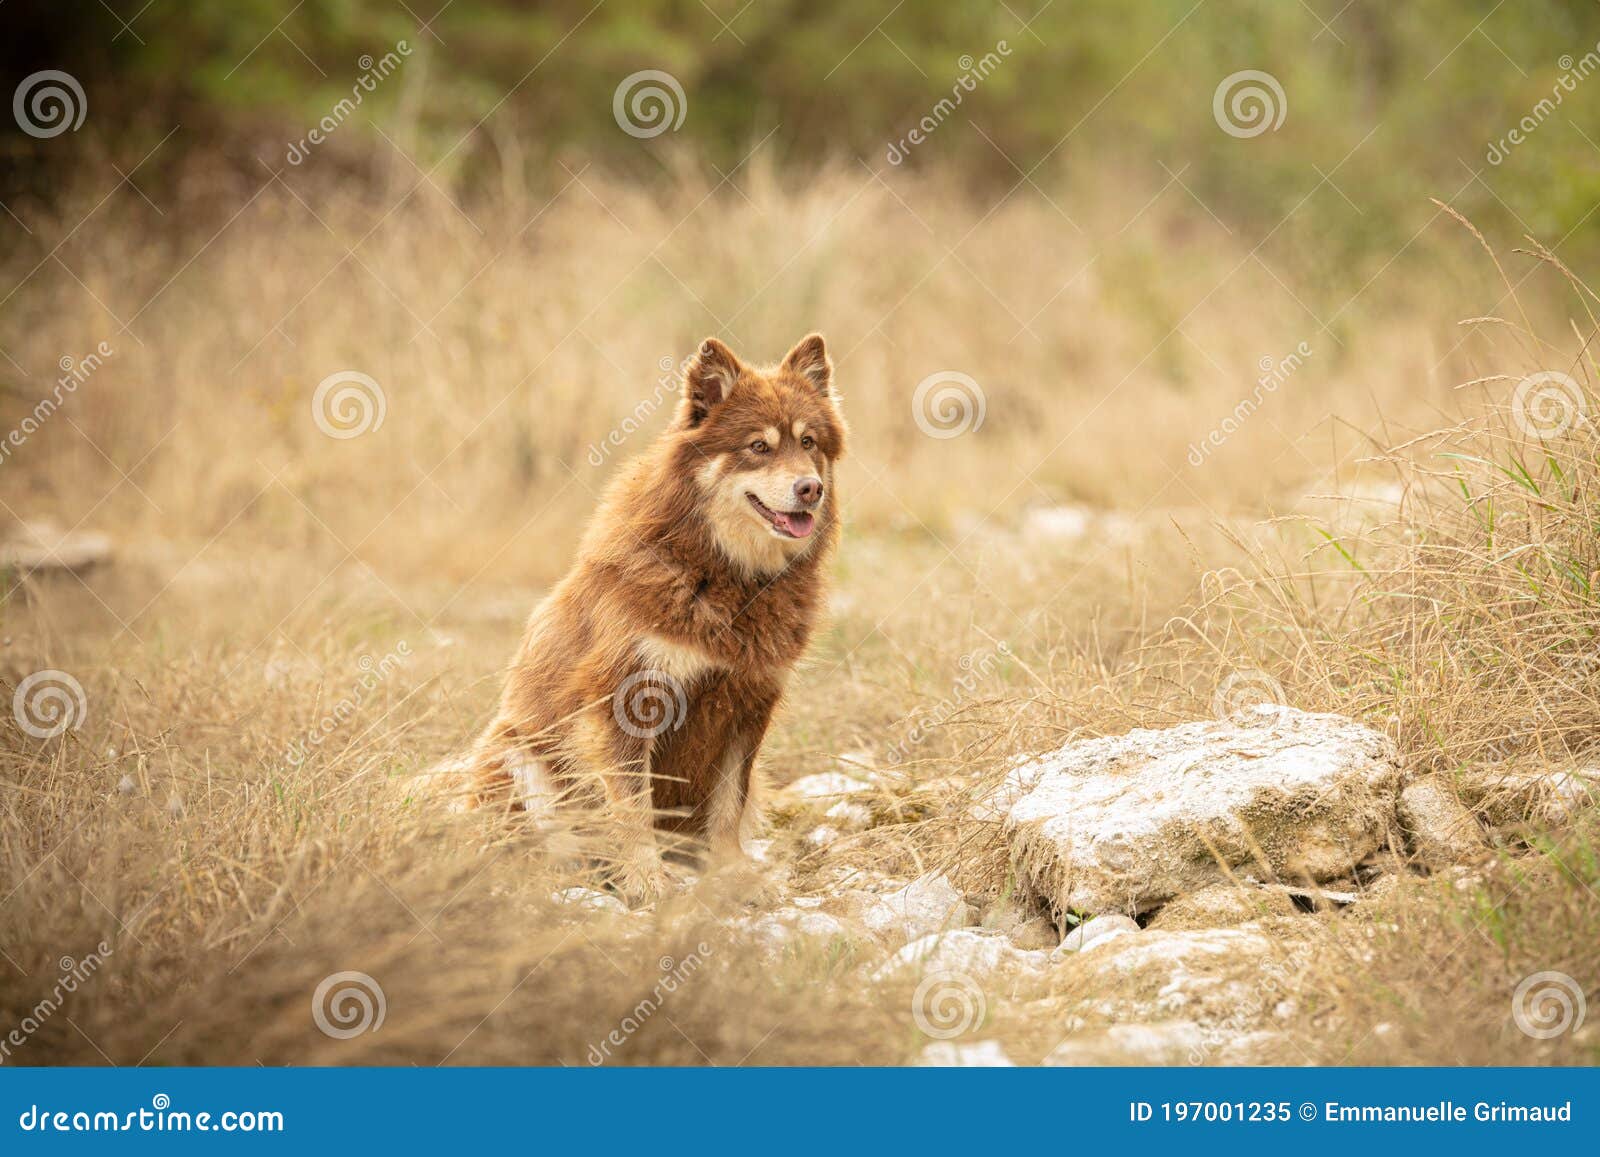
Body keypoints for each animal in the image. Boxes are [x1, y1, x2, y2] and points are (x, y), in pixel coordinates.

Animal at [464, 329, 838, 902]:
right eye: (758, 447)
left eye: (810, 443)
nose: (809, 489)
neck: (725, 572)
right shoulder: (625, 700)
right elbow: (632, 805)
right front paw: (645, 880)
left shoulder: (747, 705)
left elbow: (727, 807)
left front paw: (733, 873)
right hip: (518, 756)